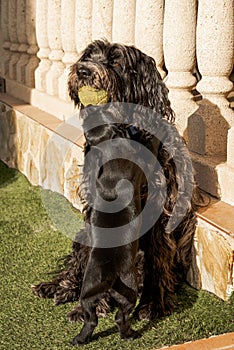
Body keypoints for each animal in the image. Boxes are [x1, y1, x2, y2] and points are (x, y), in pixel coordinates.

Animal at [32, 39, 197, 334]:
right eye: (89, 55)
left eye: (116, 61)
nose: (83, 71)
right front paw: (89, 303)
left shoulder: (161, 210)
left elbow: (158, 256)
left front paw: (154, 303)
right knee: (78, 263)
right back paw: (60, 287)